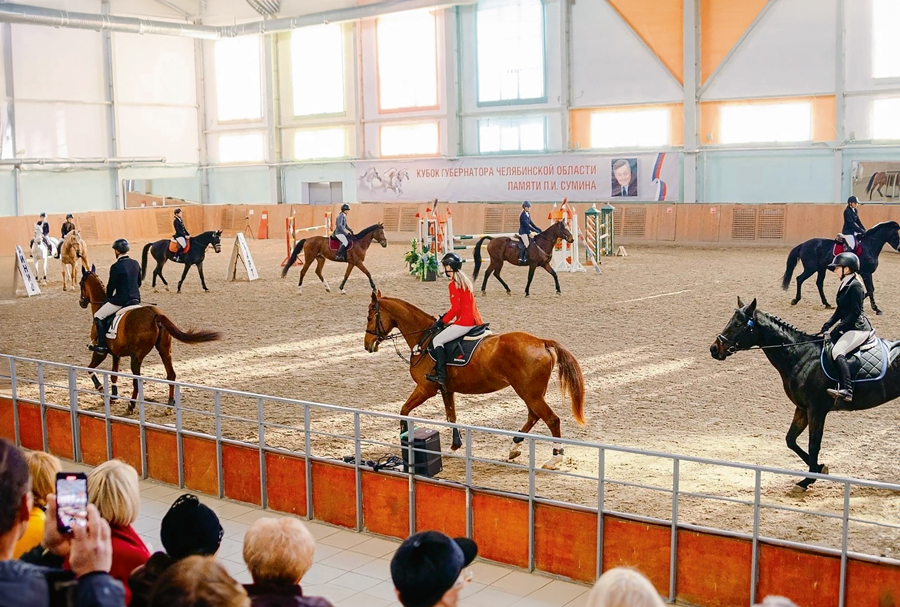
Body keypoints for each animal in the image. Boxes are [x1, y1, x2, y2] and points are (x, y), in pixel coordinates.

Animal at [79, 266, 221, 413]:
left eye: (80, 283)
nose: (81, 302)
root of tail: (155, 314)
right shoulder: (116, 354)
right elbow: (114, 375)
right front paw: (113, 397)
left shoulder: (100, 352)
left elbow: (89, 368)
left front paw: (101, 390)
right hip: (164, 350)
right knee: (171, 375)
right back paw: (169, 406)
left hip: (136, 357)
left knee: (137, 381)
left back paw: (131, 405)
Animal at [364, 291, 585, 469]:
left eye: (369, 317)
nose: (367, 345)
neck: (424, 339)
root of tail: (542, 342)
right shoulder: (446, 389)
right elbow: (451, 416)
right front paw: (455, 446)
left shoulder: (425, 389)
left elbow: (404, 411)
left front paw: (405, 441)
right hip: (532, 393)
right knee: (534, 416)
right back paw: (514, 446)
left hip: (530, 393)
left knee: (551, 419)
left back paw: (554, 459)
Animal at [711, 297, 900, 489]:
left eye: (737, 324)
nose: (714, 349)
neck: (800, 355)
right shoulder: (802, 408)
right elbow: (790, 440)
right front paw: (820, 468)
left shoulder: (816, 410)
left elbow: (813, 444)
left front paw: (809, 478)